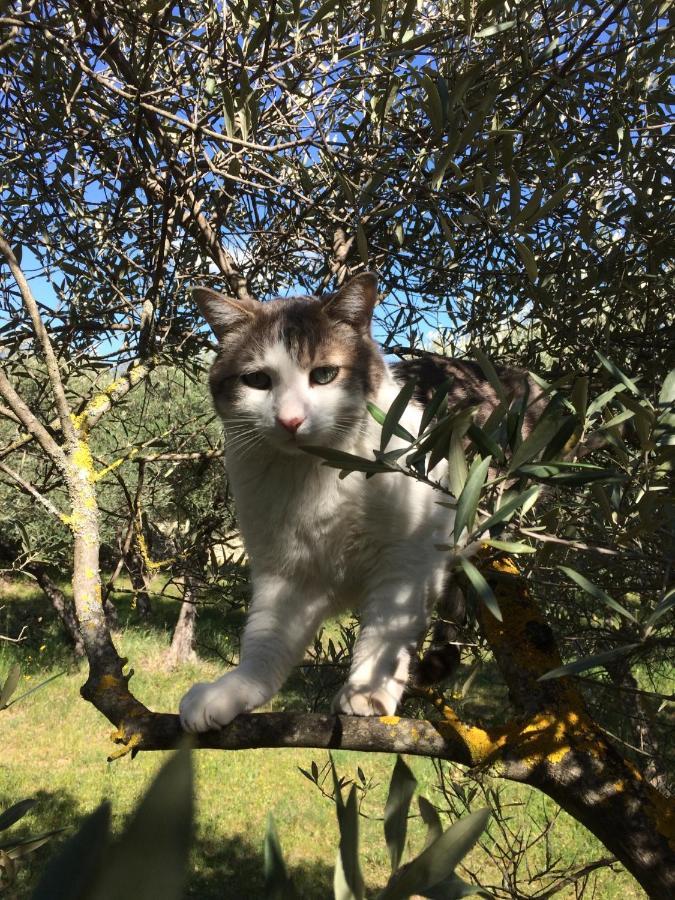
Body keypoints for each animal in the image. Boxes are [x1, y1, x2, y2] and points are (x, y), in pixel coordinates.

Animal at [180, 272, 544, 732]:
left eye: (324, 374)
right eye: (258, 381)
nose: (290, 419)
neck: (315, 476)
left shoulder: (406, 560)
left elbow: (386, 633)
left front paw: (368, 691)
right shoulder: (284, 572)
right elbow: (265, 640)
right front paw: (234, 690)